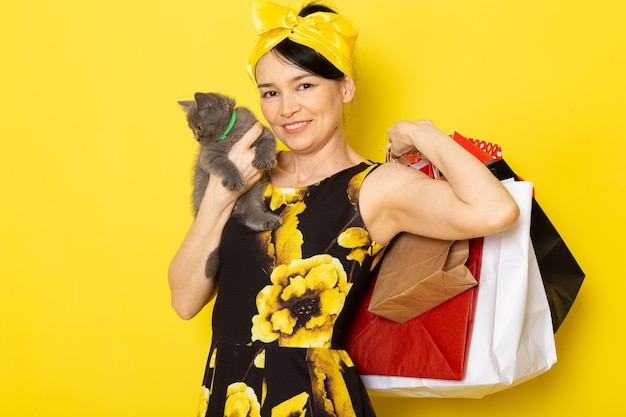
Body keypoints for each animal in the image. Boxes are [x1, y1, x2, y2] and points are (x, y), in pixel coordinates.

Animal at [177, 92, 282, 278]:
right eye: (192, 129)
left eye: (199, 128)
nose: (197, 138)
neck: (228, 134)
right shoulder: (208, 155)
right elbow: (225, 163)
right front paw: (234, 180)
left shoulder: (263, 132)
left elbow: (267, 144)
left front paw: (264, 161)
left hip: (254, 193)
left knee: (251, 213)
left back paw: (267, 221)